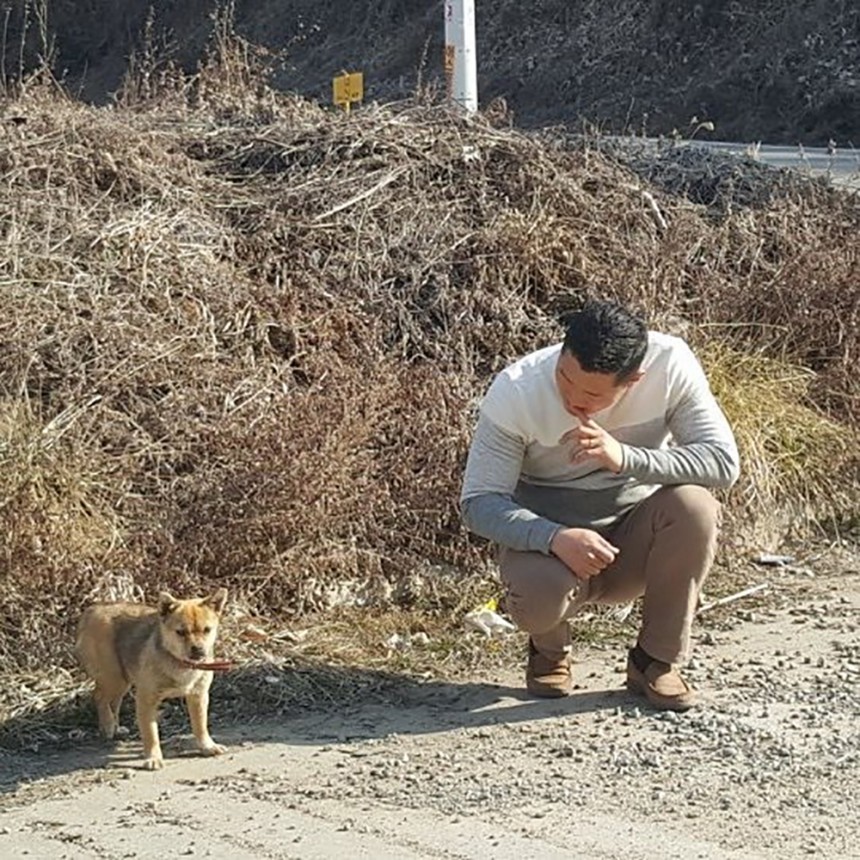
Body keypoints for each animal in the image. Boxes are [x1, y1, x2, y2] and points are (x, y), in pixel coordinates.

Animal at [76, 588, 228, 768]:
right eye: (181, 632)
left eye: (207, 630)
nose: (198, 649)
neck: (179, 662)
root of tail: (92, 610)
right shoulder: (146, 700)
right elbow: (150, 733)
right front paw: (153, 758)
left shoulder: (198, 696)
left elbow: (200, 725)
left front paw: (207, 746)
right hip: (114, 678)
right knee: (99, 697)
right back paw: (107, 725)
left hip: (122, 681)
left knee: (113, 701)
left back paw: (116, 727)